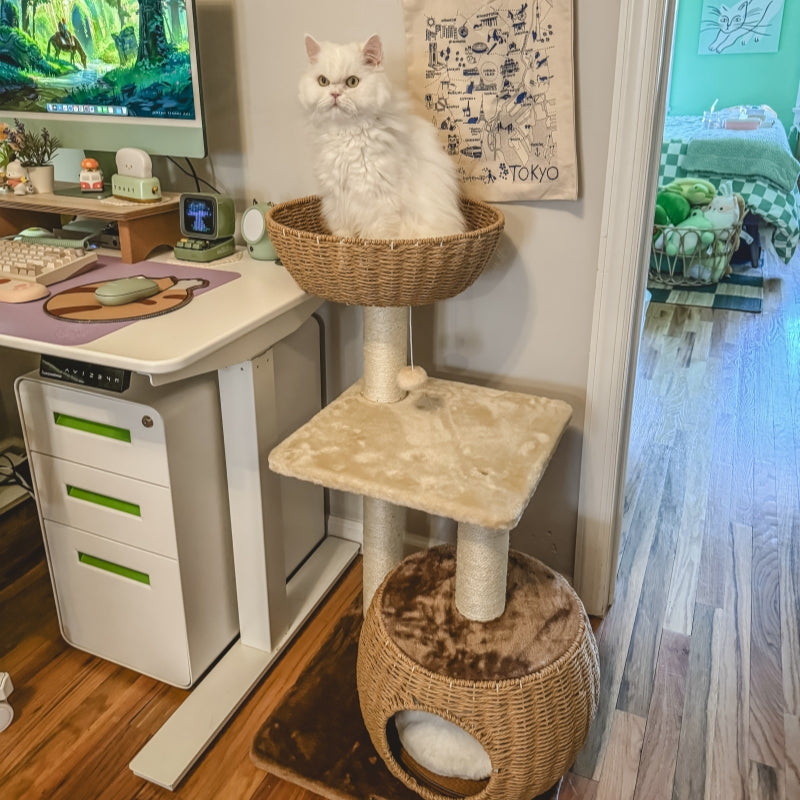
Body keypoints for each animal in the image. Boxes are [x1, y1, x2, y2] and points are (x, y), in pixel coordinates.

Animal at [298, 34, 462, 239]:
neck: (345, 132)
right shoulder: (337, 200)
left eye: (352, 82)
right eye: (323, 81)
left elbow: (377, 236)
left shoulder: (378, 201)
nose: (334, 94)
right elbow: (342, 235)